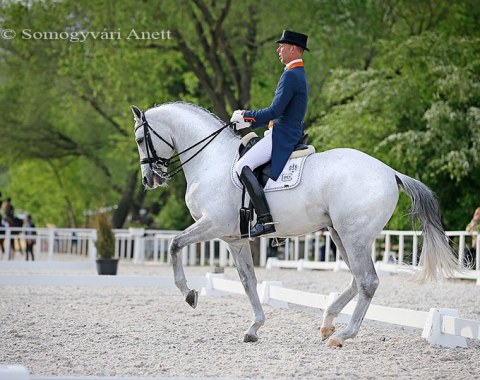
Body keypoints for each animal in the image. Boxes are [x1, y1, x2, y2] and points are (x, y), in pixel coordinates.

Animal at [130, 101, 458, 348]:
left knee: (368, 281)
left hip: (354, 236)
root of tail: (390, 171)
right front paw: (254, 328)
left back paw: (342, 335)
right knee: (356, 279)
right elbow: (248, 281)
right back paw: (327, 322)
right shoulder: (235, 239)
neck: (212, 161)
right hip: (340, 234)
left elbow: (174, 245)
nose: (149, 180)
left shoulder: (212, 225)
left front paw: (189, 294)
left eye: (139, 140)